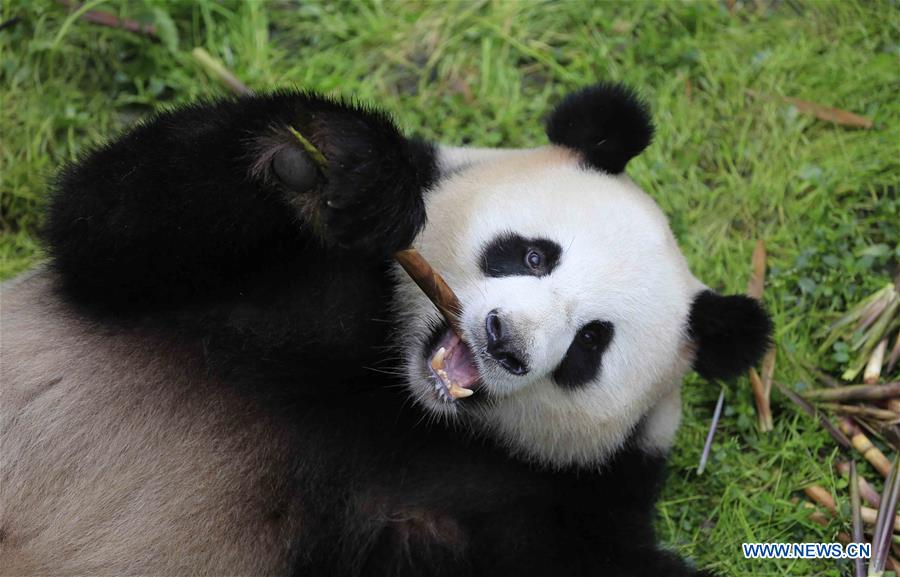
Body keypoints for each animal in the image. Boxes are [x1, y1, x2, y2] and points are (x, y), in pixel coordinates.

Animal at [0, 82, 771, 576]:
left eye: (591, 343)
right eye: (532, 255)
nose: (504, 343)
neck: (395, 393)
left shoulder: (539, 510)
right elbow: (106, 227)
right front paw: (342, 166)